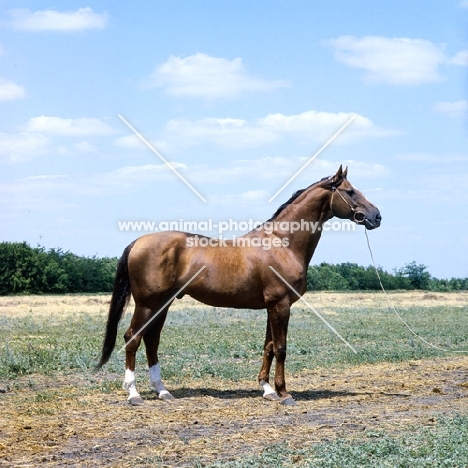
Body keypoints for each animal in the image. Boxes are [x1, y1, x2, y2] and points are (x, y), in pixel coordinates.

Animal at [98, 167, 380, 406]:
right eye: (350, 191)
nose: (376, 216)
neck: (283, 243)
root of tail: (138, 241)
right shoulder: (281, 305)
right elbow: (281, 348)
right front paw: (284, 393)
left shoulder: (271, 306)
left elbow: (268, 347)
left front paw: (267, 390)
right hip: (147, 303)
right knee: (133, 338)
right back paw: (134, 394)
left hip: (162, 304)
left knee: (152, 340)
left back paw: (163, 391)